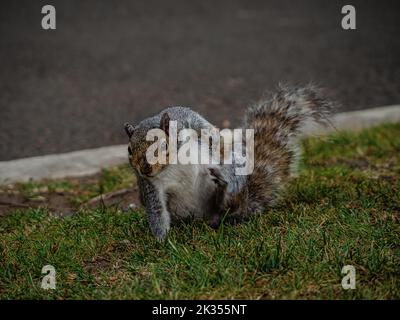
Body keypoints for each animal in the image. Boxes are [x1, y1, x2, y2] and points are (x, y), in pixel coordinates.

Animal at [124, 84, 334, 239]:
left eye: (163, 145)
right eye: (129, 150)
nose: (145, 169)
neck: (172, 164)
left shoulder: (182, 118)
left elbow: (201, 123)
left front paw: (215, 139)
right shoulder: (150, 186)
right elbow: (157, 212)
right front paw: (162, 242)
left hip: (235, 177)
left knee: (227, 203)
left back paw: (224, 185)